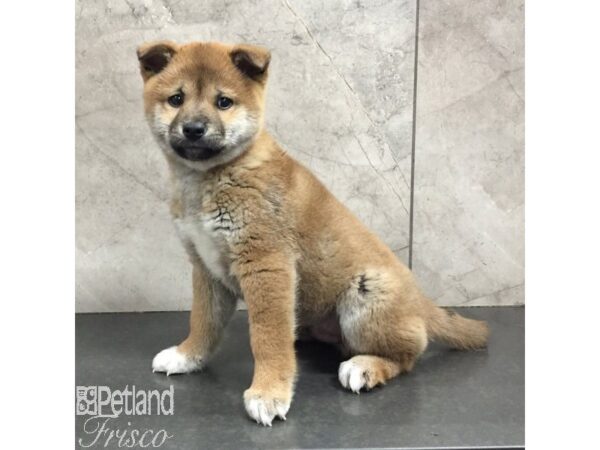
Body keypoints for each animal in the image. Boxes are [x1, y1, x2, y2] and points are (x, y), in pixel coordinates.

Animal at [138, 40, 490, 428]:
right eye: (176, 99)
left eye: (223, 102)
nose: (194, 129)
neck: (212, 177)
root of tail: (420, 301)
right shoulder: (206, 268)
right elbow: (203, 320)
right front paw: (188, 356)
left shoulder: (267, 265)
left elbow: (267, 336)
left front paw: (269, 392)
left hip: (366, 296)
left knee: (410, 352)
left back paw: (366, 367)